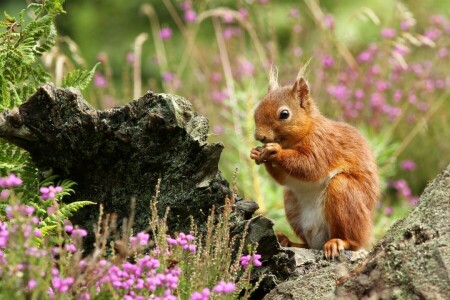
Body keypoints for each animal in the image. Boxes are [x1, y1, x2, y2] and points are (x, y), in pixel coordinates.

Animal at [250, 67, 380, 258]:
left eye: (284, 114)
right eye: (256, 110)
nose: (259, 136)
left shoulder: (323, 144)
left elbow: (310, 165)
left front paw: (275, 151)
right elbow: (283, 178)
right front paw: (256, 153)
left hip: (344, 191)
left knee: (353, 242)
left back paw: (338, 242)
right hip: (291, 204)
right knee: (307, 244)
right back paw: (288, 241)